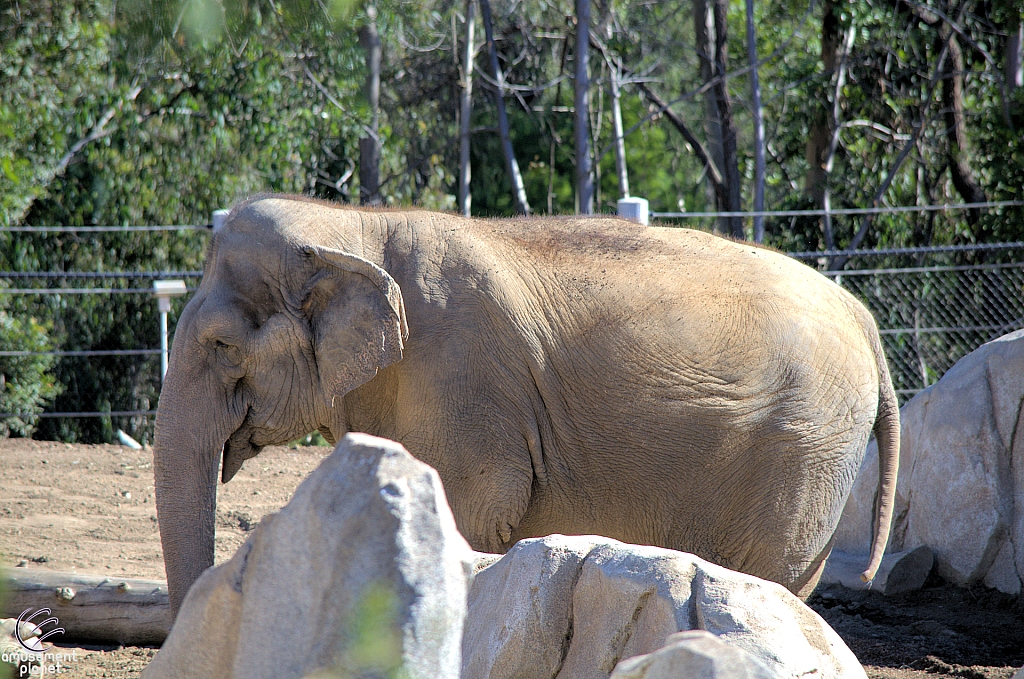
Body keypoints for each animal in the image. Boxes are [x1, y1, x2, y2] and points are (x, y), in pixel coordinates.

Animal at [151, 193, 897, 618]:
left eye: (221, 345)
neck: (354, 227)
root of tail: (867, 321)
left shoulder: (460, 382)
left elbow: (470, 511)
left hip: (804, 445)